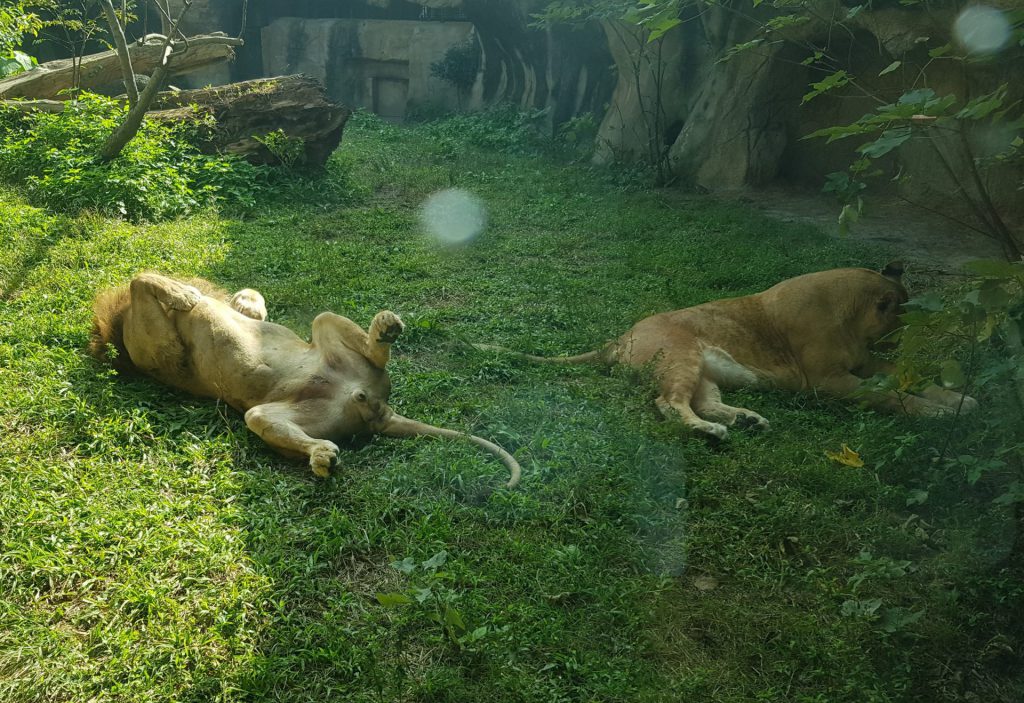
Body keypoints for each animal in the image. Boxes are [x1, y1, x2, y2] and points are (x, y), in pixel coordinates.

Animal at [90, 272, 520, 487]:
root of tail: (376, 408)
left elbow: (143, 276)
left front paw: (233, 299)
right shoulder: (160, 351)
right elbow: (141, 277)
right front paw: (184, 294)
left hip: (325, 326)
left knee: (363, 344)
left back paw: (385, 328)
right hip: (268, 414)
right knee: (293, 431)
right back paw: (323, 457)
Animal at [477, 264, 974, 440]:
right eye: (903, 319)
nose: (905, 338)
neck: (852, 318)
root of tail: (618, 338)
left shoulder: (866, 361)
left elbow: (912, 377)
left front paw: (959, 399)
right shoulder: (827, 382)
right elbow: (889, 395)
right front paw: (937, 413)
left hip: (704, 371)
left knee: (705, 402)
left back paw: (747, 420)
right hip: (680, 357)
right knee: (669, 404)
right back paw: (712, 431)